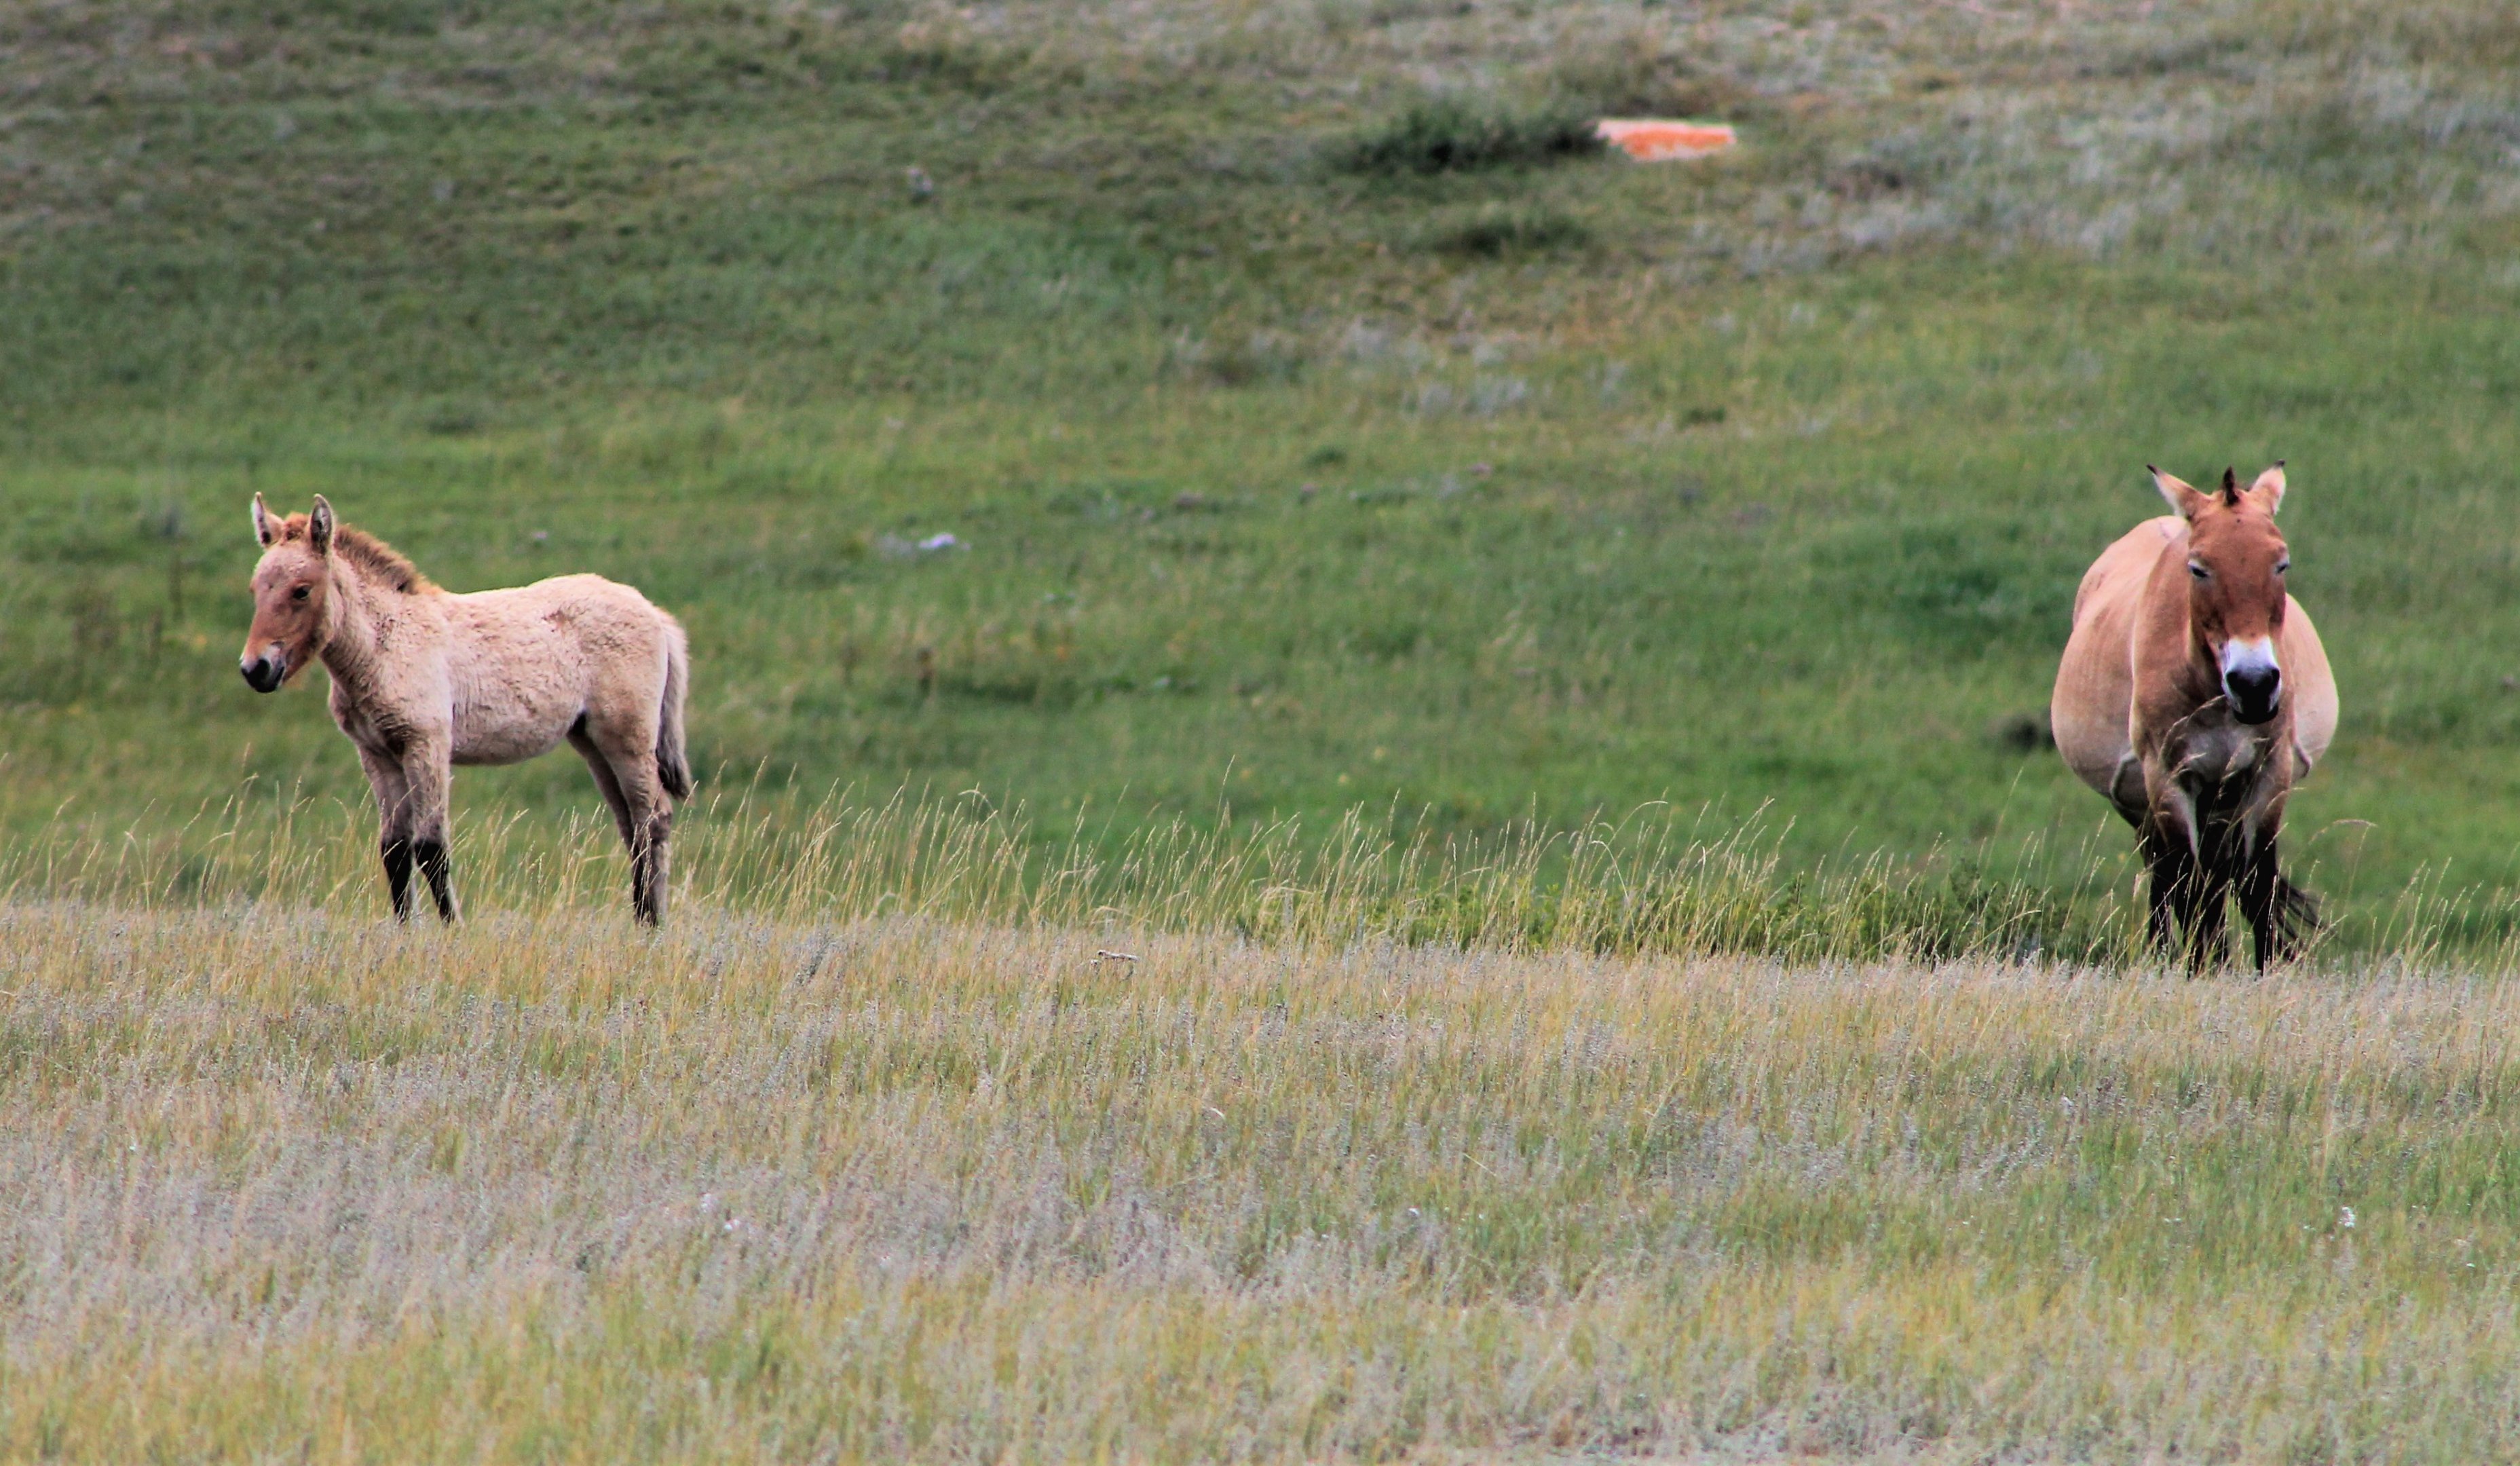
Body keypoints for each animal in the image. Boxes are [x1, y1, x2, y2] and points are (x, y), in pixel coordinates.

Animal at [239, 495, 693, 925]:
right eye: (255, 589)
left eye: (302, 590)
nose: (255, 669)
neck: (387, 644)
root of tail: (654, 614)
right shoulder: (378, 756)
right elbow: (394, 851)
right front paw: (405, 935)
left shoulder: (427, 745)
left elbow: (430, 846)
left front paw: (452, 932)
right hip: (592, 743)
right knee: (631, 826)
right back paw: (642, 919)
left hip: (628, 738)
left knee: (654, 819)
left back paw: (652, 925)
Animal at [2051, 464, 2339, 970]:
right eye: (2199, 568)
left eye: (2280, 563)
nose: (2253, 684)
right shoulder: (2170, 780)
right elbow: (2189, 888)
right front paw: (2200, 970)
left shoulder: (2269, 773)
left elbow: (2258, 886)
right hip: (2145, 809)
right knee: (2168, 881)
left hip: (2221, 804)